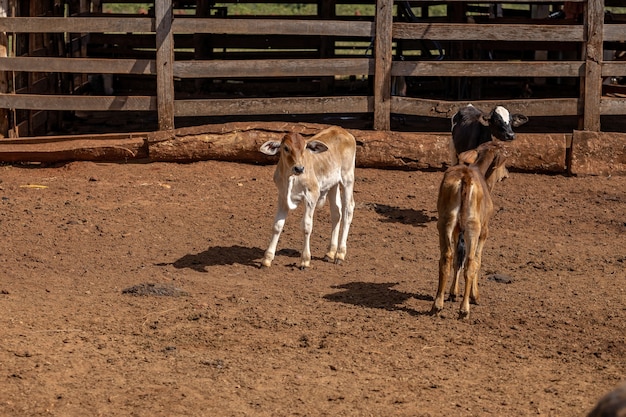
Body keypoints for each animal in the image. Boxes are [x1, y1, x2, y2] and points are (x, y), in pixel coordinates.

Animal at [258, 127, 356, 268]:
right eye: (286, 148)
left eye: (304, 148)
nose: (299, 168)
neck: (291, 177)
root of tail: (341, 130)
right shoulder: (282, 196)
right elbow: (277, 226)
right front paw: (267, 259)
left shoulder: (311, 195)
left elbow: (306, 226)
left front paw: (305, 260)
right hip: (333, 184)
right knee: (336, 213)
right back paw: (330, 253)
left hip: (347, 178)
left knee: (348, 210)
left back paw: (340, 254)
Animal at [432, 141, 510, 318]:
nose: (506, 174)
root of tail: (465, 177)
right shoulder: (484, 231)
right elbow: (477, 260)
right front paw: (475, 296)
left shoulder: (456, 231)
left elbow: (457, 258)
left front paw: (453, 292)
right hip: (474, 227)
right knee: (470, 261)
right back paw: (464, 309)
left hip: (445, 222)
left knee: (447, 257)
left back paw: (437, 305)